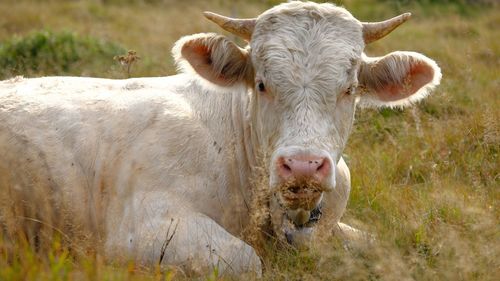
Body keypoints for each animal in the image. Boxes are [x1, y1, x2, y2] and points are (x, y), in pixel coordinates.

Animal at [0, 0, 440, 276]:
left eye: (349, 89)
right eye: (261, 84)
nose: (303, 165)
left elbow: (372, 243)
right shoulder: (143, 227)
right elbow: (247, 260)